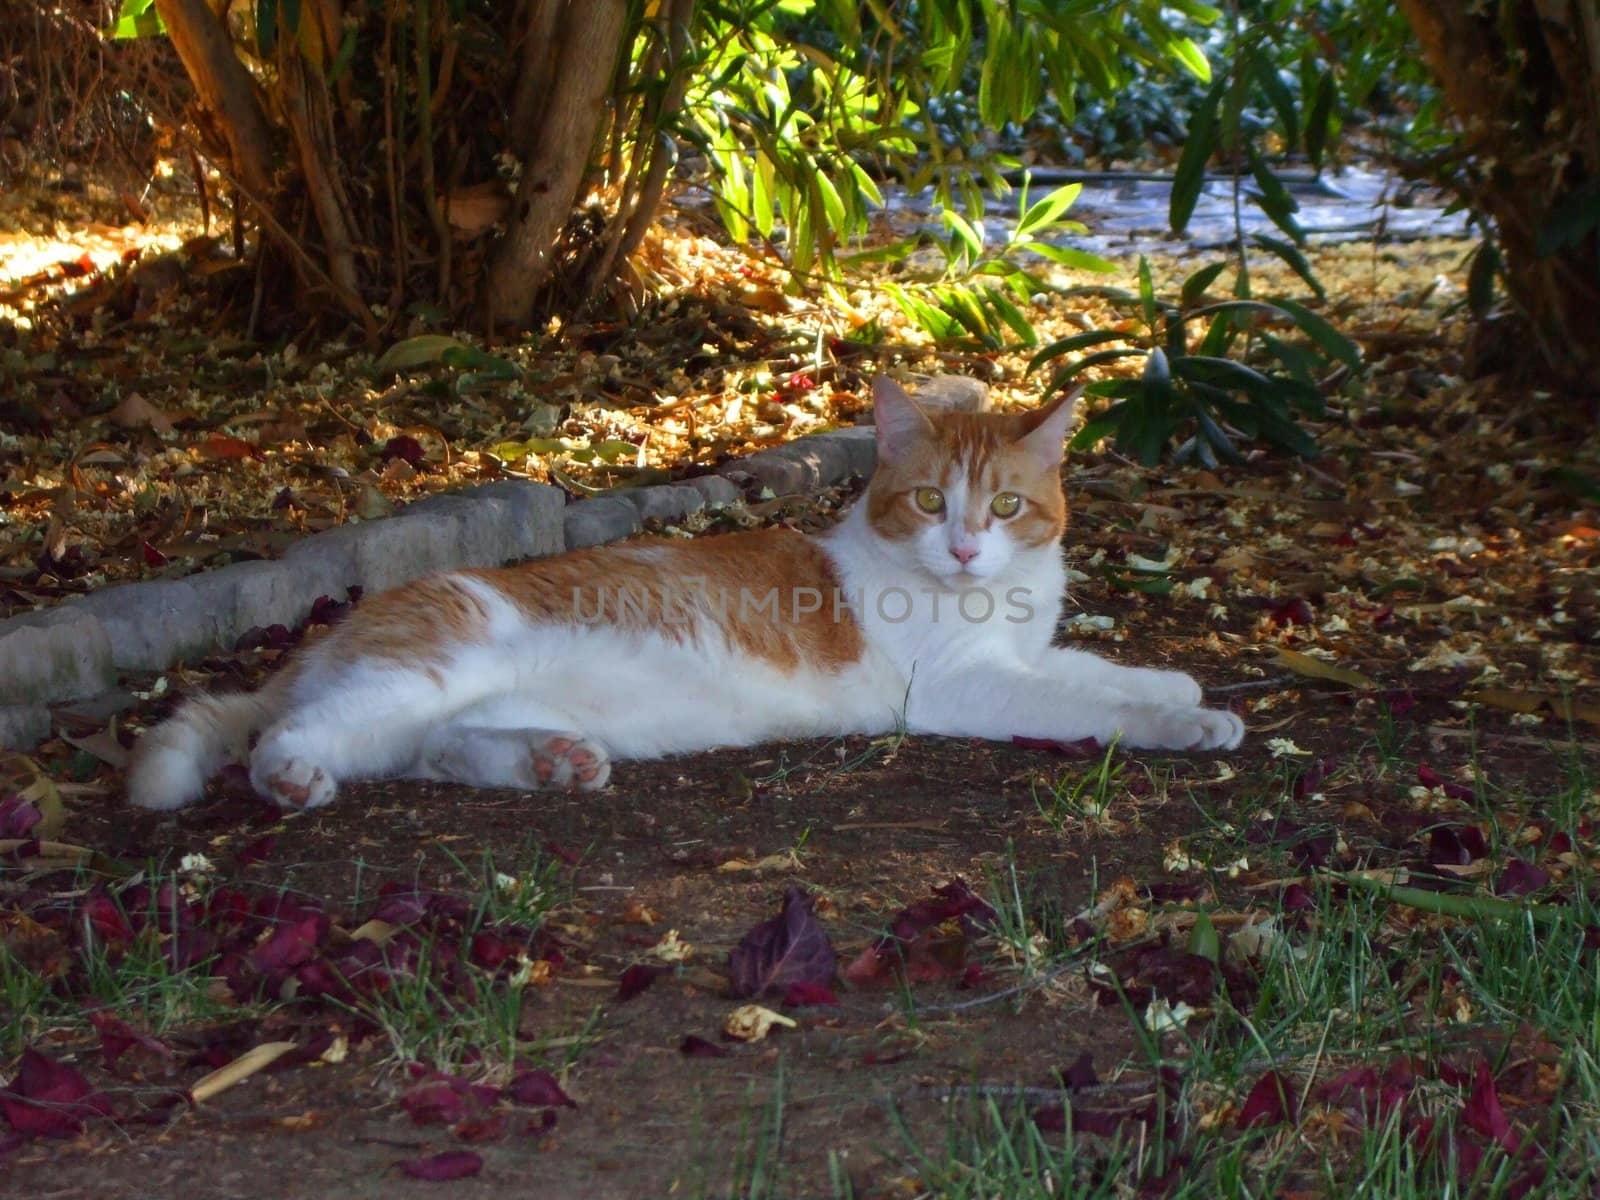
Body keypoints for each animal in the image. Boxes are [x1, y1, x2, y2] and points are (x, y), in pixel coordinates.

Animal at [128, 380, 1248, 812]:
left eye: (1008, 505)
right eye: (932, 501)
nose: (969, 550)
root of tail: (329, 635)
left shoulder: (1020, 650)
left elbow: (1090, 664)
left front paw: (1178, 685)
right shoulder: (961, 689)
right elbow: (1084, 701)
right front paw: (1183, 723)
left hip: (436, 713)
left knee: (436, 751)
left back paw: (552, 762)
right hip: (418, 672)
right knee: (290, 739)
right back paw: (291, 780)